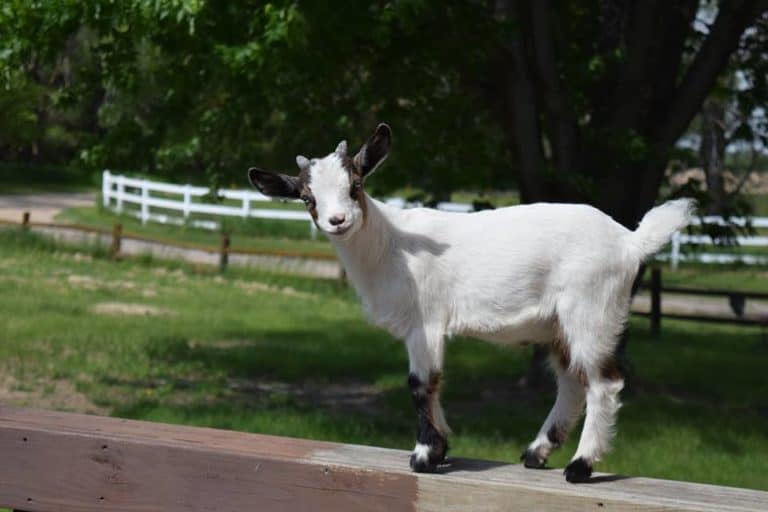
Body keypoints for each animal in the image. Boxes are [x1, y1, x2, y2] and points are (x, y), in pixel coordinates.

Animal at [248, 123, 696, 480]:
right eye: (307, 198)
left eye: (356, 186)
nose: (338, 221)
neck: (389, 243)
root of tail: (630, 241)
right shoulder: (424, 328)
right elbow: (433, 382)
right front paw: (442, 448)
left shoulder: (425, 320)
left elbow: (420, 383)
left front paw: (425, 455)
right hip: (559, 326)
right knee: (572, 382)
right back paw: (537, 453)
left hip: (591, 310)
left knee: (604, 382)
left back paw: (580, 466)